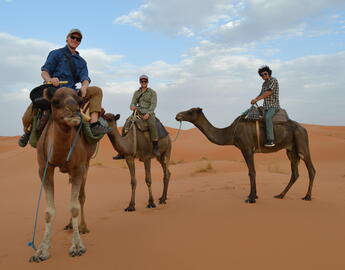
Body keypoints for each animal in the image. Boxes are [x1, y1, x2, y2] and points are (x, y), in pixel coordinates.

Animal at [29, 87, 96, 262]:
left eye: (79, 101)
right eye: (55, 101)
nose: (74, 111)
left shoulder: (79, 168)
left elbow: (74, 207)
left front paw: (77, 246)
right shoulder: (44, 169)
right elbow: (48, 212)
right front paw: (41, 251)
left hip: (86, 164)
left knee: (81, 197)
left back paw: (83, 227)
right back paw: (69, 225)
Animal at [176, 107, 316, 202]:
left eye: (190, 112)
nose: (178, 115)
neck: (231, 133)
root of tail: (304, 129)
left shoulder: (247, 148)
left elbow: (252, 172)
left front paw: (251, 198)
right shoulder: (244, 149)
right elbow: (250, 171)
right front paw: (253, 195)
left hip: (302, 143)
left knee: (311, 169)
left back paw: (307, 196)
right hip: (291, 150)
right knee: (295, 173)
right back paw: (280, 195)